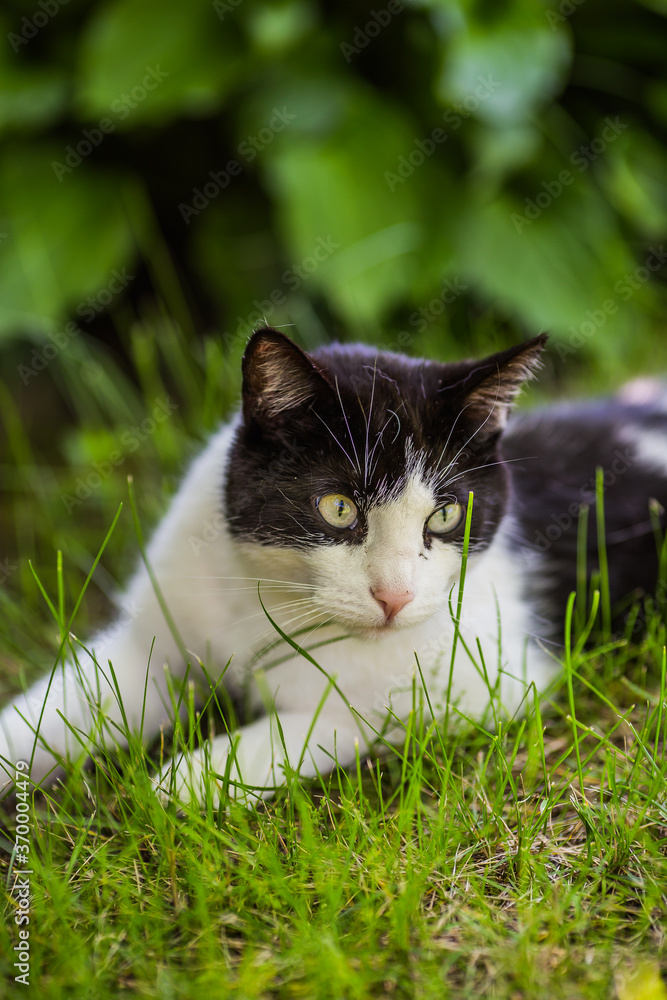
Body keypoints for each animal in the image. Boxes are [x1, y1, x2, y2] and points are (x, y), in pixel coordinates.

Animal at [0, 328, 664, 804]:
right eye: (338, 507)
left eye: (446, 515)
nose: (394, 596)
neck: (266, 594)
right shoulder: (153, 636)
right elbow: (73, 699)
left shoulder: (486, 682)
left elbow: (340, 715)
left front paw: (192, 777)